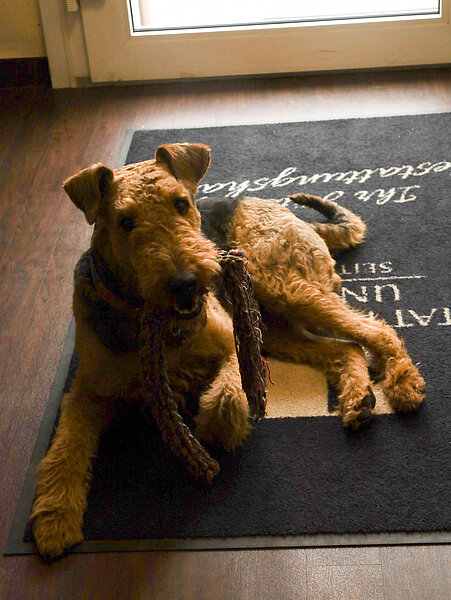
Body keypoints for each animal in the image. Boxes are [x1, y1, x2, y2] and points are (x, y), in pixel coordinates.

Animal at [30, 143, 425, 558]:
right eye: (124, 221)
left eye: (181, 203)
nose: (185, 283)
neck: (147, 316)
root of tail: (269, 205)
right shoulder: (86, 393)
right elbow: (65, 448)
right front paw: (54, 519)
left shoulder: (234, 344)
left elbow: (225, 397)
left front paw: (217, 431)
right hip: (276, 327)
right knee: (348, 349)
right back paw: (358, 399)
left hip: (285, 291)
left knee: (378, 331)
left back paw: (404, 385)